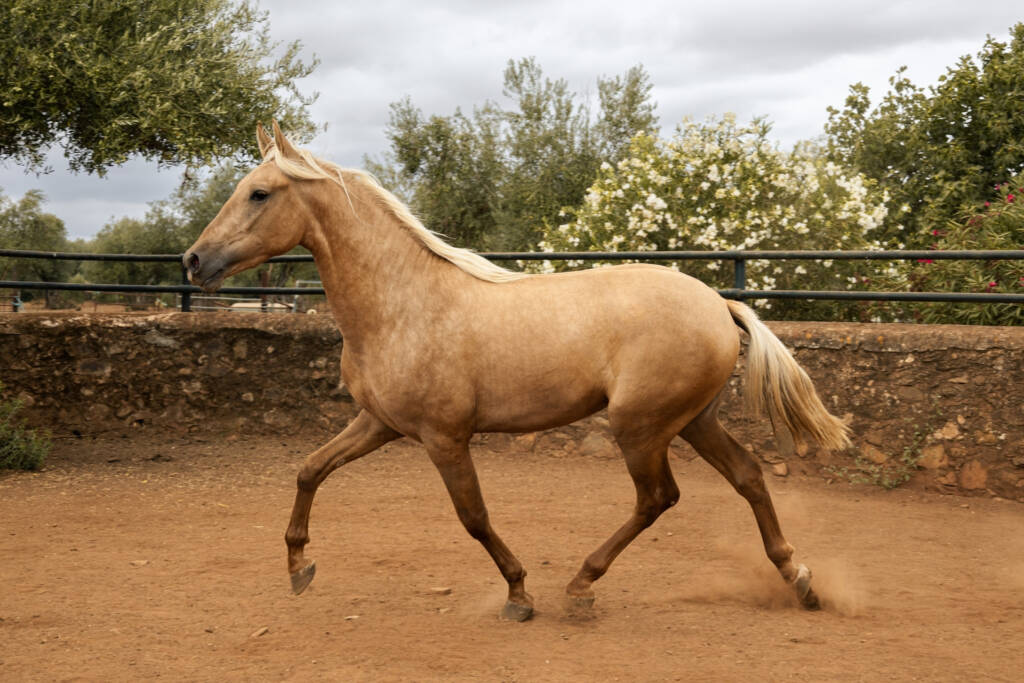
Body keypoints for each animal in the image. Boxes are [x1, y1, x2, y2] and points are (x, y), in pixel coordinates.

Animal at [183, 122, 850, 621]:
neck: (402, 304)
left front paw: (519, 593)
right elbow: (309, 470)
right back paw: (800, 580)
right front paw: (300, 568)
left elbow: (474, 518)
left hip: (640, 427)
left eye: (259, 193)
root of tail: (718, 304)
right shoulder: (378, 423)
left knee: (659, 497)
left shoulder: (444, 438)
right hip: (692, 421)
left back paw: (581, 584)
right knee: (748, 476)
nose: (193, 261)